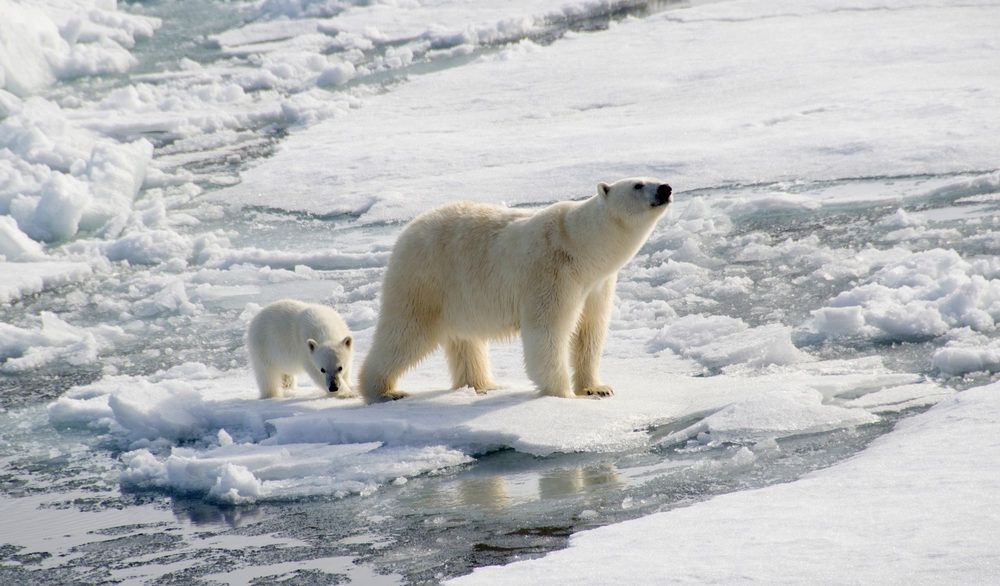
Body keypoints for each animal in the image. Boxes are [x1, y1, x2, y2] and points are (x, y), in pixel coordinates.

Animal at [359, 177, 672, 403]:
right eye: (638, 184)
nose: (666, 188)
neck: (582, 248)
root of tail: (406, 231)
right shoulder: (551, 273)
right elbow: (547, 331)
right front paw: (563, 395)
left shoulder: (597, 285)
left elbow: (590, 332)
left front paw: (597, 388)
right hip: (425, 279)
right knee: (405, 331)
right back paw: (384, 390)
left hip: (458, 294)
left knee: (465, 339)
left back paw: (483, 384)